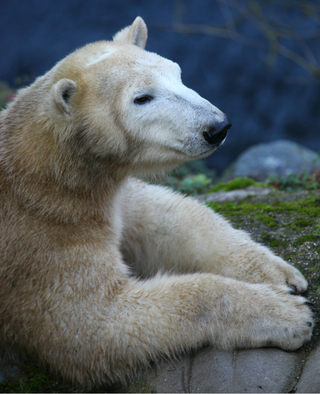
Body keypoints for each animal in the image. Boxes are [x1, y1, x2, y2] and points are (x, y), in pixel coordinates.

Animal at [0, 17, 314, 388]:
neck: (45, 169)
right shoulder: (42, 238)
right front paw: (290, 314)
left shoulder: (106, 193)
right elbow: (92, 326)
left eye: (177, 73)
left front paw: (279, 275)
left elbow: (164, 218)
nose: (216, 127)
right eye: (142, 98)